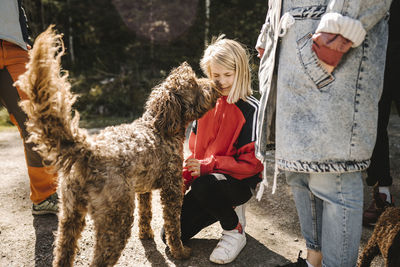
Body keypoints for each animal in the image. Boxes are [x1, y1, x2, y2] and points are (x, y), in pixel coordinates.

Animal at [16, 27, 222, 267]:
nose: (215, 86)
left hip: (70, 215)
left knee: (63, 254)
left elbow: (146, 213)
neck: (157, 126)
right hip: (116, 219)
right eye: (194, 85)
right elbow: (173, 226)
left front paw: (146, 234)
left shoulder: (143, 188)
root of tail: (88, 152)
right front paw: (179, 252)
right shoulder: (172, 188)